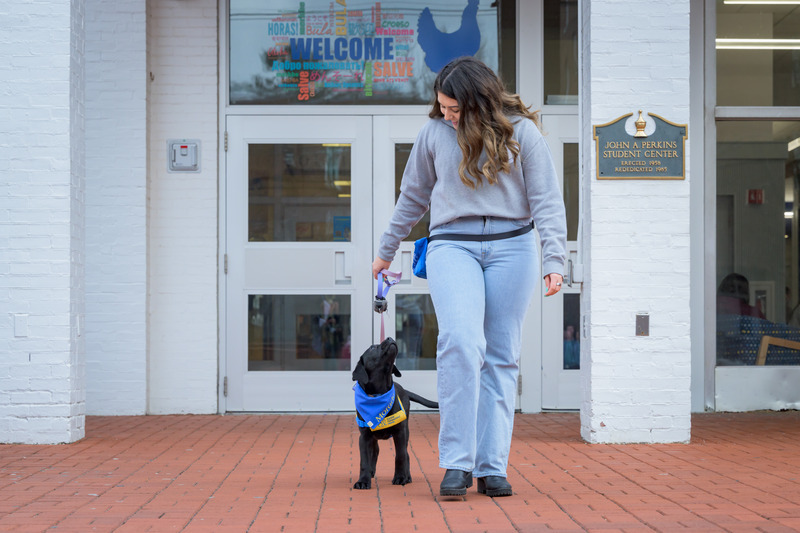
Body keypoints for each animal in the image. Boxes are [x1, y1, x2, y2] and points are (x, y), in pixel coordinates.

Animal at [350, 338, 438, 488]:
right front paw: (363, 481)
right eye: (372, 348)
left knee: (406, 454)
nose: (390, 338)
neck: (379, 394)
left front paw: (401, 477)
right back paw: (371, 472)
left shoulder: (400, 432)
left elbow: (401, 456)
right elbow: (364, 460)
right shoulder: (364, 436)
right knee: (375, 450)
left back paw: (407, 476)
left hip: (406, 430)